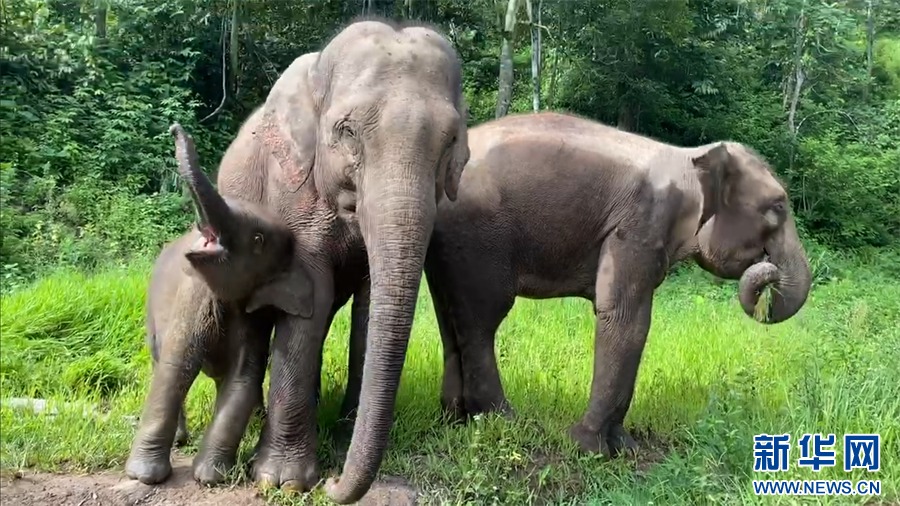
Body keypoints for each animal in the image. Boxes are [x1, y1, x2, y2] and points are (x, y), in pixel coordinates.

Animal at [125, 124, 308, 486]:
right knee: (159, 360)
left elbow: (243, 377)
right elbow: (175, 368)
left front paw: (210, 477)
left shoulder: (255, 314)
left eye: (257, 240)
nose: (177, 129)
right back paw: (181, 440)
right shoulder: (193, 295)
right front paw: (144, 477)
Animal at [212, 17, 469, 503]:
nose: (333, 482)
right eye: (347, 132)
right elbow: (308, 301)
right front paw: (285, 481)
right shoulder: (291, 193)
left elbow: (368, 310)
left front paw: (343, 437)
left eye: (451, 142)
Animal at [423, 111, 812, 457]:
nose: (767, 270)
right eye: (778, 206)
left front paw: (626, 448)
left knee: (450, 315)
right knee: (483, 318)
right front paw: (589, 449)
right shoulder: (639, 224)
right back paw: (502, 420)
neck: (690, 159)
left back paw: (456, 416)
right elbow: (626, 318)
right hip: (478, 235)